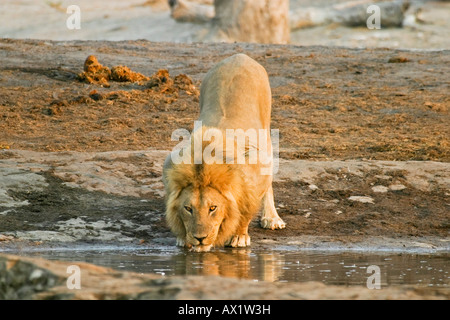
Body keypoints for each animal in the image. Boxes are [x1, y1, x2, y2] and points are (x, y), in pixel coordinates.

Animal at [163, 53, 286, 252]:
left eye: (213, 208)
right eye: (188, 208)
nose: (200, 238)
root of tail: (239, 56)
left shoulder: (256, 162)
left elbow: (245, 209)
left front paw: (239, 236)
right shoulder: (170, 165)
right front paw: (183, 237)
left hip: (265, 130)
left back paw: (272, 218)